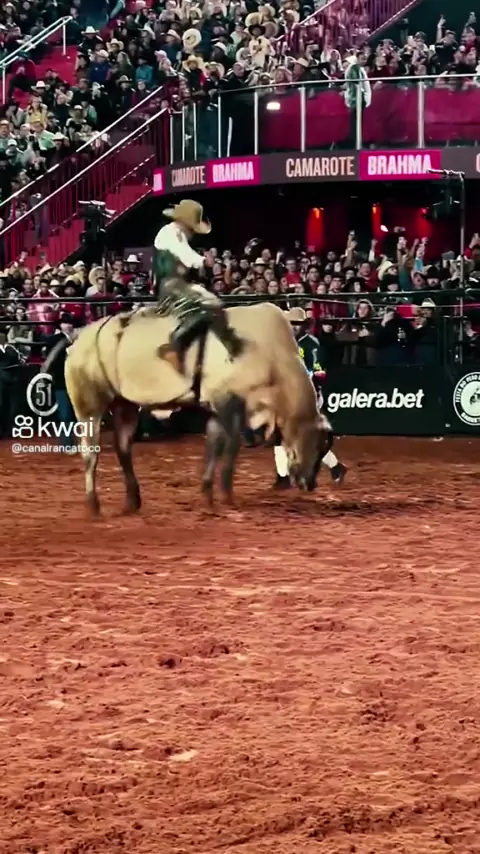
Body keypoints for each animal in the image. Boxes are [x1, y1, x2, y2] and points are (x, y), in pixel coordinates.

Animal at [44, 300, 330, 516]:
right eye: (315, 444)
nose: (310, 483)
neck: (270, 355)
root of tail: (78, 337)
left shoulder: (215, 409)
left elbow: (214, 446)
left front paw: (208, 494)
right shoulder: (229, 403)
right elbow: (232, 446)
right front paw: (227, 495)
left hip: (125, 405)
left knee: (123, 447)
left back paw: (132, 501)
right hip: (88, 406)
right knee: (90, 452)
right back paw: (93, 505)